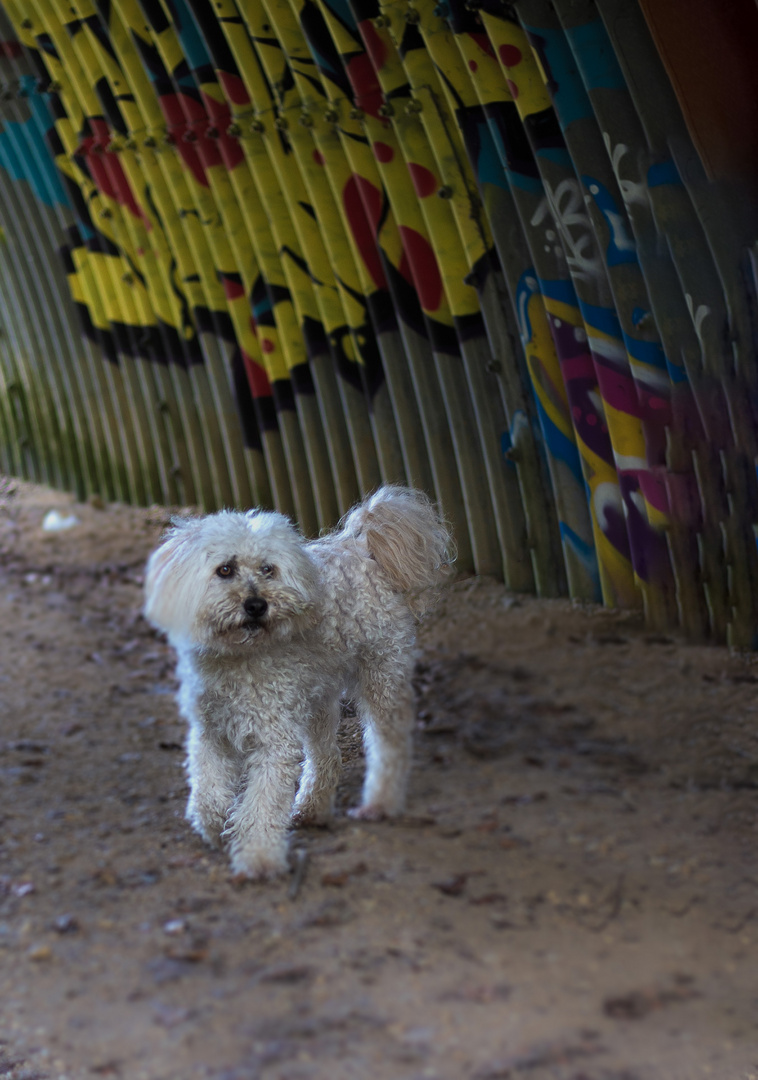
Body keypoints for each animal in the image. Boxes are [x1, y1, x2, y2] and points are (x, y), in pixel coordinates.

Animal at [142, 486, 451, 881]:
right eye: (225, 569)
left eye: (267, 569)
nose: (256, 605)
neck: (238, 656)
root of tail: (360, 547)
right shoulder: (210, 731)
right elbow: (208, 794)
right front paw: (215, 826)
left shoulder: (273, 741)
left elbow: (262, 806)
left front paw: (259, 859)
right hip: (315, 698)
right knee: (326, 756)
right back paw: (312, 809)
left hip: (382, 676)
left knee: (389, 747)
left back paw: (380, 803)